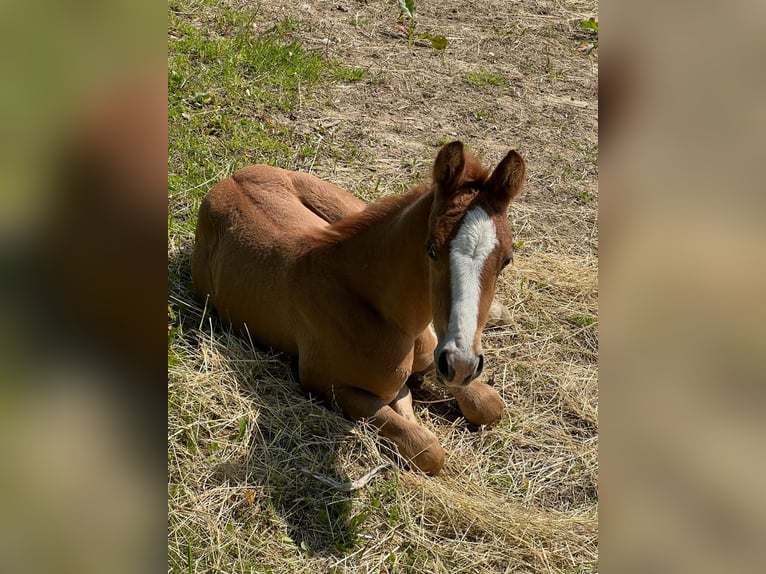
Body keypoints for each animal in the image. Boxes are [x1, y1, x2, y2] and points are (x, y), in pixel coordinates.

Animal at [194, 142, 528, 474]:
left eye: (507, 260)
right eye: (431, 248)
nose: (460, 364)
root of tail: (232, 177)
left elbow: (489, 404)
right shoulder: (326, 384)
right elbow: (427, 448)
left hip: (345, 204)